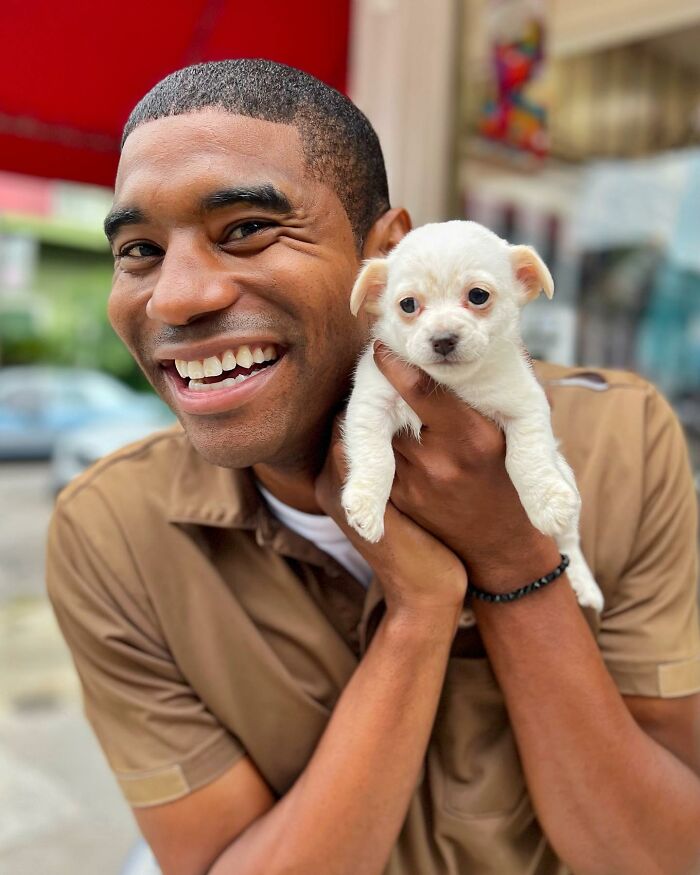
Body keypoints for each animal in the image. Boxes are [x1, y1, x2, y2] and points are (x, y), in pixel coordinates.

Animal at [342, 222, 604, 612]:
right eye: (408, 305)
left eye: (478, 296)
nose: (443, 339)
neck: (453, 385)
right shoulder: (371, 406)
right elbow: (376, 459)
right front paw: (366, 507)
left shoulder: (525, 407)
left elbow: (527, 459)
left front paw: (545, 502)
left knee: (569, 542)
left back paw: (584, 584)